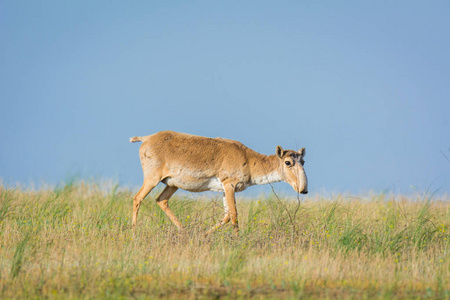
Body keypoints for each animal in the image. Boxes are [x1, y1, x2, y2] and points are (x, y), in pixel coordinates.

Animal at [128, 131, 308, 234]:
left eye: (303, 161)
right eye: (288, 162)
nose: (303, 189)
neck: (249, 159)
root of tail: (147, 138)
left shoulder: (224, 190)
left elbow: (226, 216)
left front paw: (204, 236)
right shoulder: (229, 185)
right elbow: (234, 214)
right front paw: (237, 241)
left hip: (172, 184)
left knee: (161, 200)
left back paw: (185, 232)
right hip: (152, 179)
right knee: (137, 198)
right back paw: (134, 232)